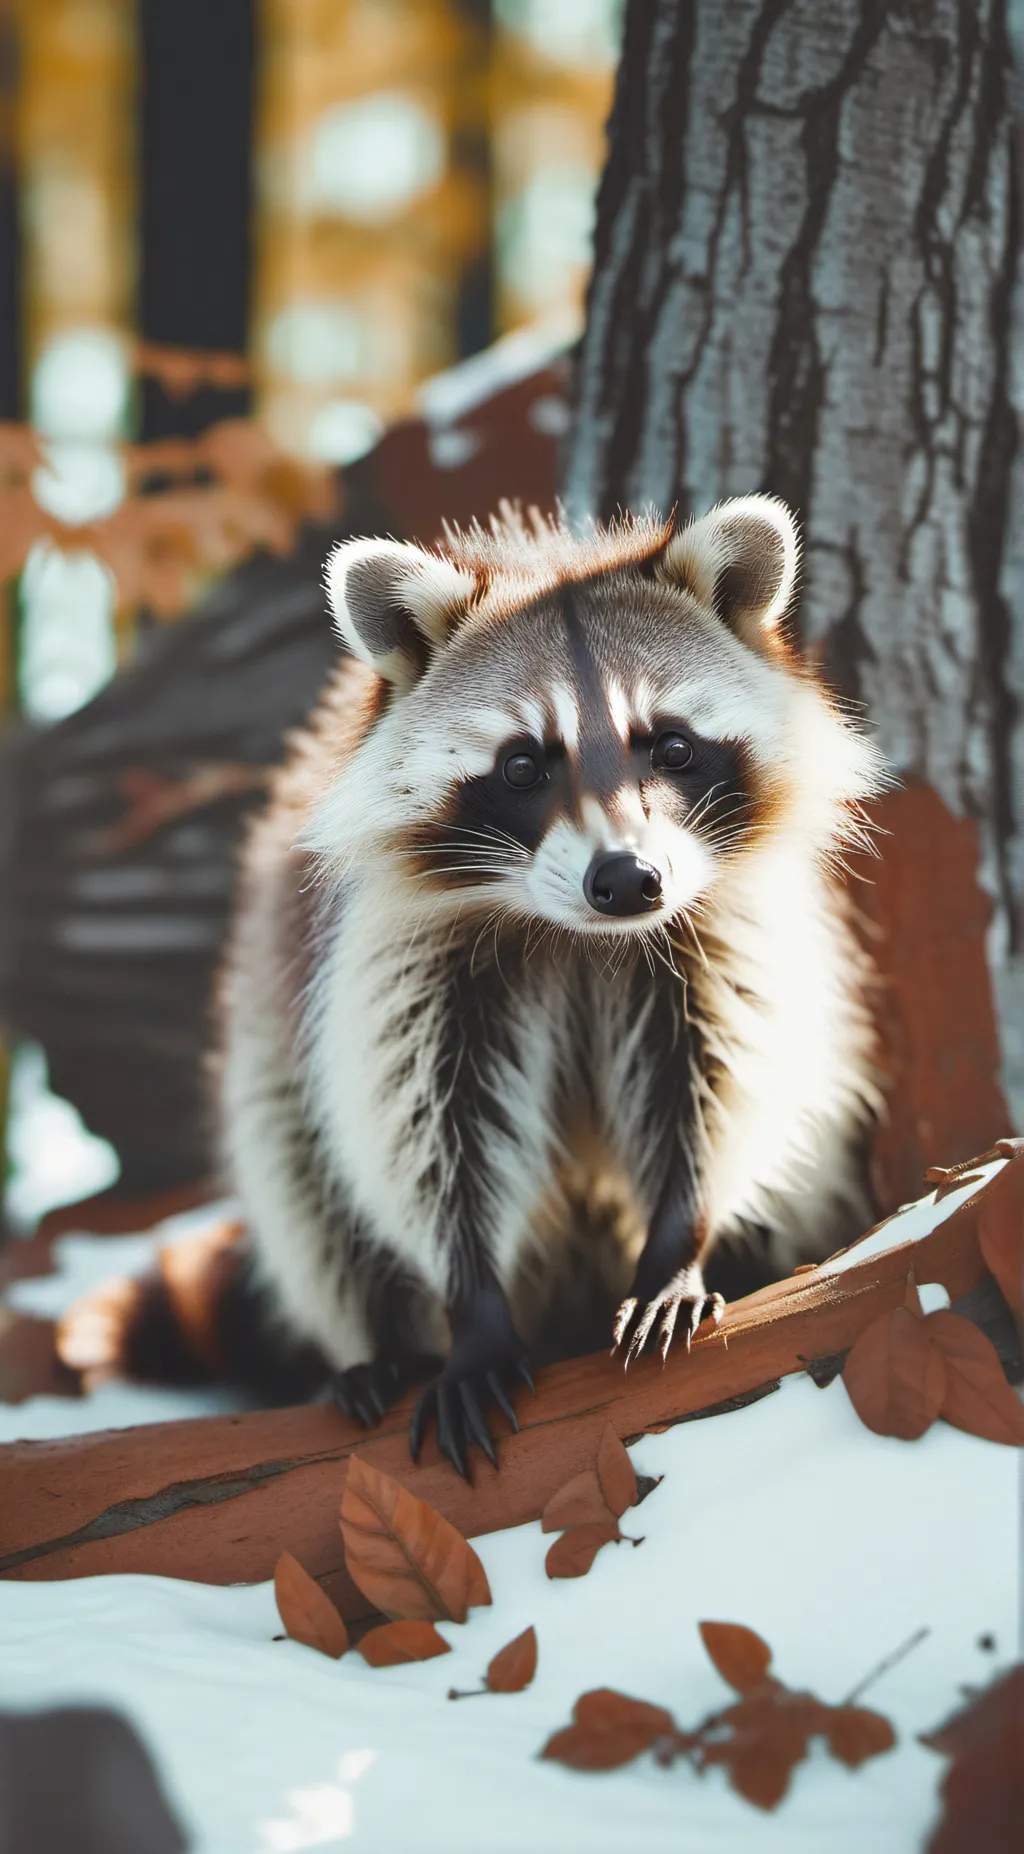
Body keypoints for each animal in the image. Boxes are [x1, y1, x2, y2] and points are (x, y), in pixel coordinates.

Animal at [218, 495, 887, 1475]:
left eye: (672, 747)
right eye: (524, 764)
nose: (628, 880)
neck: (585, 938)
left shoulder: (725, 928)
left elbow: (721, 1081)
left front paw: (678, 1243)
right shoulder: (400, 958)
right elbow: (422, 1129)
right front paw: (470, 1304)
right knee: (301, 1183)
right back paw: (380, 1343)